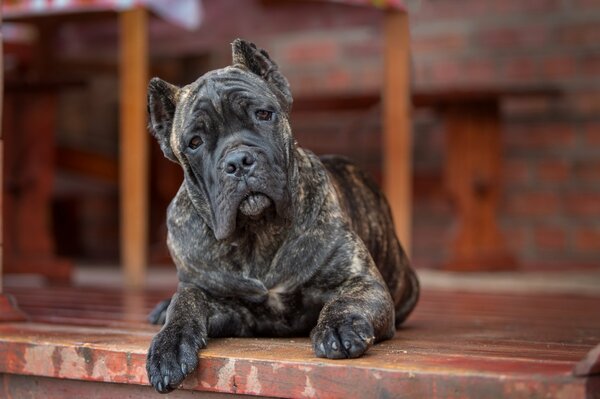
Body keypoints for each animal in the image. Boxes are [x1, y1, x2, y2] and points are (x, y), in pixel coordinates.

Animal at [146, 39, 420, 396]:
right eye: (194, 142)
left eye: (263, 114)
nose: (238, 161)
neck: (257, 232)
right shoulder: (215, 296)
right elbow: (185, 303)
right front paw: (169, 346)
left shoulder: (362, 282)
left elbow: (345, 302)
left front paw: (339, 328)